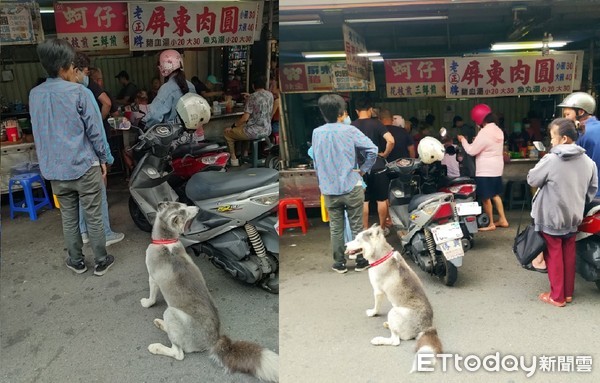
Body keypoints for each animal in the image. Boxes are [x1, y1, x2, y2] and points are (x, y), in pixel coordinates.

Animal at [141, 202, 278, 382]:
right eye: (184, 208)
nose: (197, 209)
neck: (167, 240)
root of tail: (214, 339)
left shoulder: (152, 277)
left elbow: (151, 295)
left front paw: (147, 303)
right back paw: (162, 325)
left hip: (172, 312)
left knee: (178, 353)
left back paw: (157, 346)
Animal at [346, 226, 440, 374]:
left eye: (357, 240)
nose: (345, 245)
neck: (381, 256)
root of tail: (427, 327)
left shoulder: (377, 291)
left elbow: (376, 306)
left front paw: (372, 313)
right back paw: (388, 325)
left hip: (394, 311)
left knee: (395, 341)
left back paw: (379, 340)